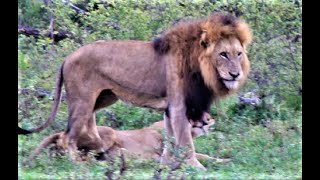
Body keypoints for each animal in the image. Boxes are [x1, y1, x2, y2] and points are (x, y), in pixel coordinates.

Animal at [18, 13, 251, 170]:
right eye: (223, 54)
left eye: (238, 54)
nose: (235, 74)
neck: (200, 66)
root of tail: (67, 57)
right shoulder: (178, 106)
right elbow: (186, 142)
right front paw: (197, 169)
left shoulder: (169, 109)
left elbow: (171, 140)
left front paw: (167, 165)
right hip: (82, 99)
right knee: (67, 137)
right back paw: (78, 165)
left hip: (103, 97)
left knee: (83, 130)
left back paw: (99, 152)